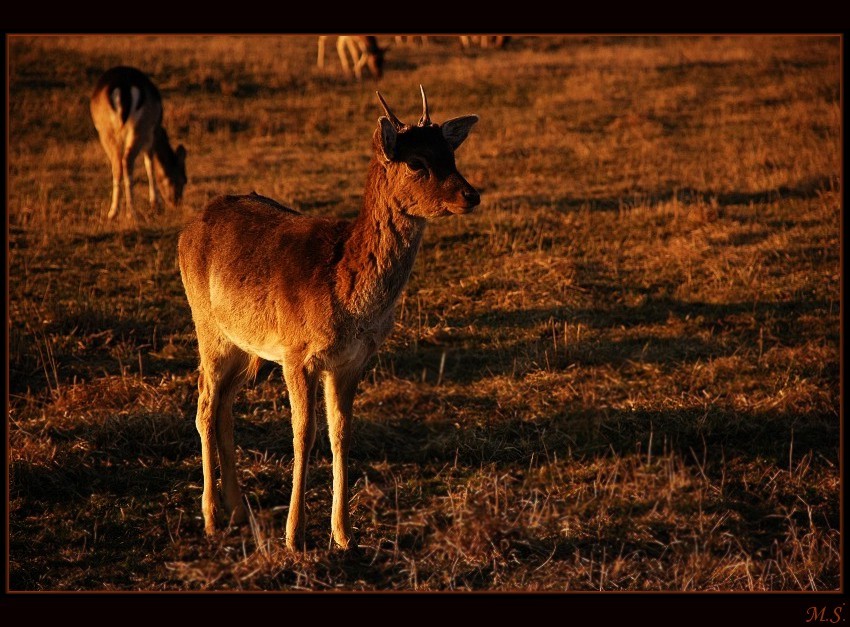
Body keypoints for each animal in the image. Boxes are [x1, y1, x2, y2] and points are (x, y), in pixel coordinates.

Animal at [89, 66, 186, 222]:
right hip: (140, 126)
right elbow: (149, 163)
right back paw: (131, 212)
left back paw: (113, 212)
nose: (176, 203)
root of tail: (123, 89)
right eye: (183, 180)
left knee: (117, 164)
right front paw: (156, 203)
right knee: (127, 160)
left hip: (106, 129)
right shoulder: (151, 133)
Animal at [177, 87, 476, 548]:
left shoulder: (353, 361)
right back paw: (211, 517)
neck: (345, 289)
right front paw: (295, 536)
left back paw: (239, 510)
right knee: (205, 404)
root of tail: (185, 229)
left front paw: (345, 533)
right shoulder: (297, 353)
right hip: (207, 326)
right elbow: (304, 433)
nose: (470, 195)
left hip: (246, 345)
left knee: (225, 405)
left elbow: (342, 433)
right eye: (416, 162)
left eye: (451, 153)